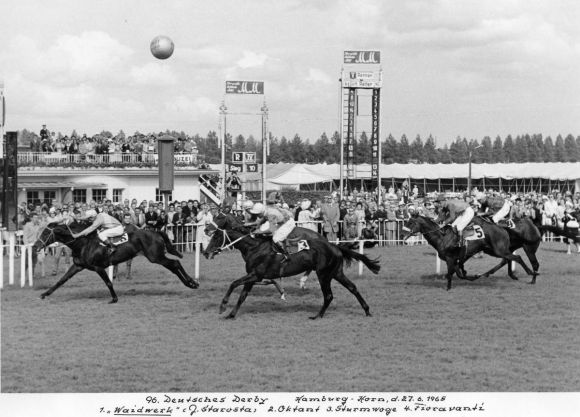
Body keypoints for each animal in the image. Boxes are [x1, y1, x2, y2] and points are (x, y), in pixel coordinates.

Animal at [31, 221, 199, 302]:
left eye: (45, 233)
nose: (36, 246)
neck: (83, 242)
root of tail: (156, 232)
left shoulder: (98, 267)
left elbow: (108, 282)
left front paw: (114, 298)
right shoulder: (78, 266)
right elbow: (61, 280)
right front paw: (44, 294)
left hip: (155, 257)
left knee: (175, 264)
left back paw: (192, 283)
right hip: (156, 257)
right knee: (174, 265)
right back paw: (191, 283)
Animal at [204, 213, 380, 320]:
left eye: (216, 237)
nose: (205, 252)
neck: (254, 247)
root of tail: (334, 246)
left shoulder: (256, 274)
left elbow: (233, 283)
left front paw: (223, 306)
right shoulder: (253, 277)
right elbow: (242, 296)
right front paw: (231, 314)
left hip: (324, 274)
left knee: (329, 295)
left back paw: (317, 315)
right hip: (336, 272)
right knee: (352, 288)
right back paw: (367, 310)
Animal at [404, 214, 536, 290]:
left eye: (410, 223)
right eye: (407, 222)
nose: (403, 234)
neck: (442, 237)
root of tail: (502, 228)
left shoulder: (450, 258)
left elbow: (452, 273)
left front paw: (448, 288)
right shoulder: (453, 259)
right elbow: (459, 273)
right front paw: (473, 276)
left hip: (499, 250)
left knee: (517, 257)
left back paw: (531, 273)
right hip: (494, 250)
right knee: (510, 258)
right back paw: (514, 275)